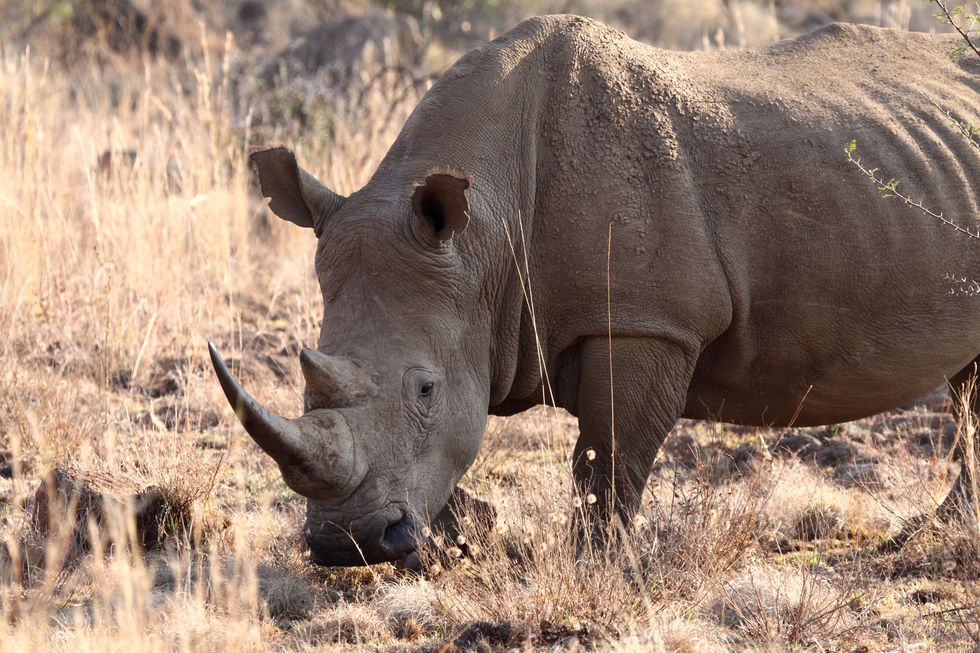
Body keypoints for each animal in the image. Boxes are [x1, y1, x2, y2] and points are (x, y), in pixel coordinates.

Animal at [209, 15, 980, 564]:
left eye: (425, 388)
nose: (346, 546)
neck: (485, 237)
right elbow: (467, 451)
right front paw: (459, 542)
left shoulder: (644, 319)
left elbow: (609, 457)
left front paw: (595, 566)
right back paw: (939, 532)